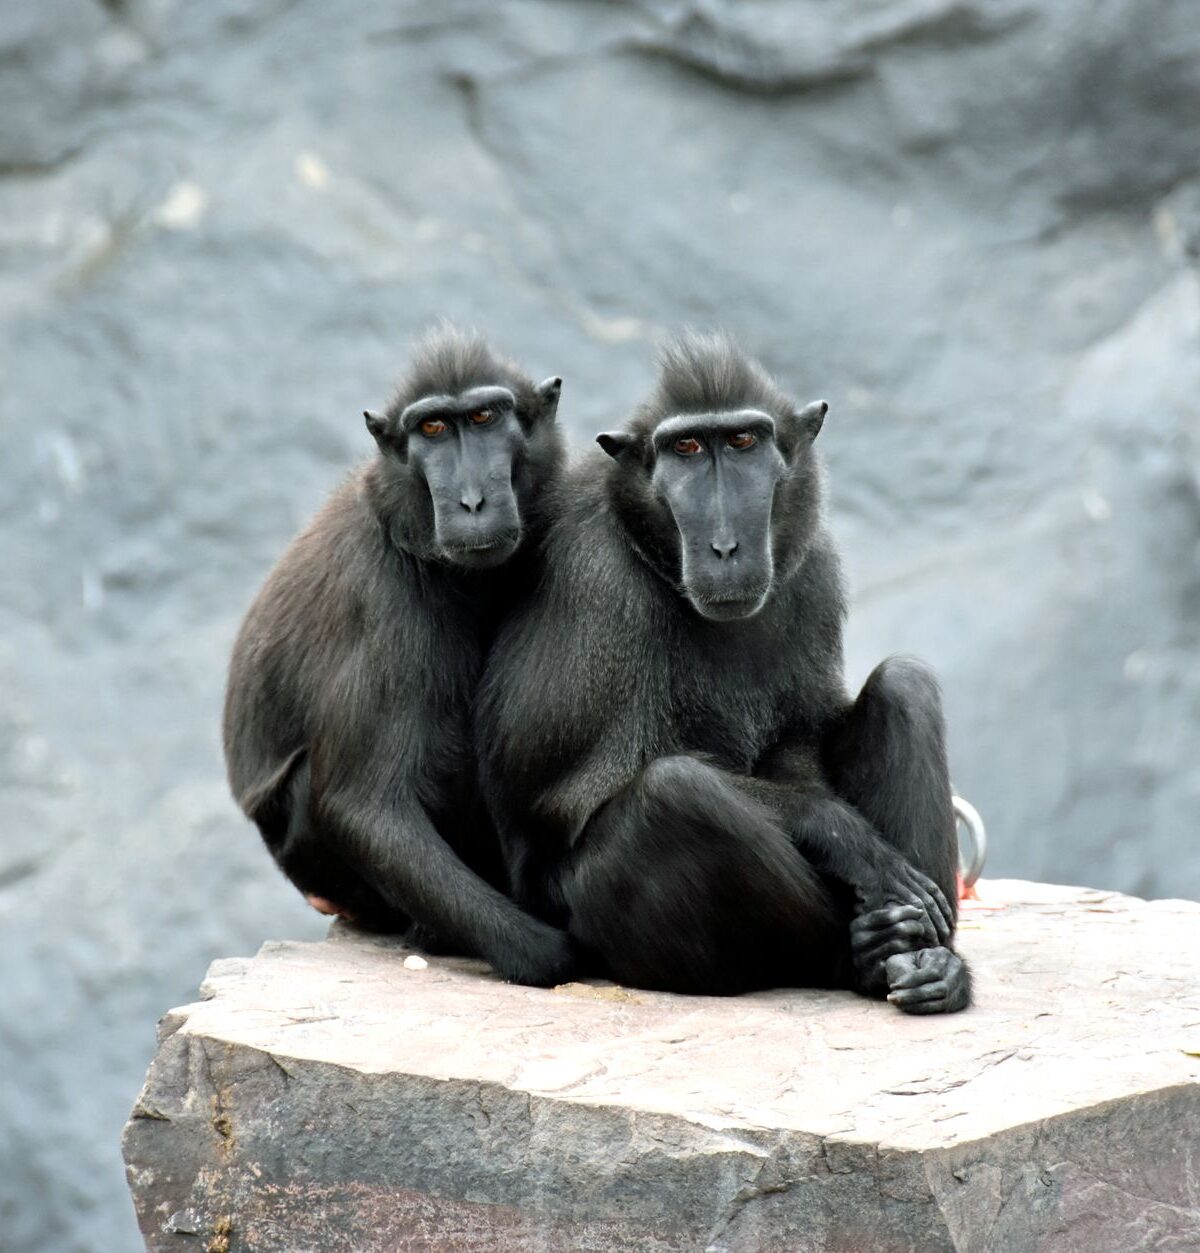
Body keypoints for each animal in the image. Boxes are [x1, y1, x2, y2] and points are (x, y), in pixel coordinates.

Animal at [222, 326, 577, 987]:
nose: (471, 502)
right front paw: (553, 950)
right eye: (432, 429)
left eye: (484, 417)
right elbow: (367, 808)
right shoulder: (386, 601)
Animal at [476, 331, 969, 1011]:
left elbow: (800, 741)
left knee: (904, 687)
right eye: (685, 449)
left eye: (742, 442)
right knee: (675, 792)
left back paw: (930, 964)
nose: (726, 547)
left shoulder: (812, 564)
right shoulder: (598, 585)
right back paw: (861, 954)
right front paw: (844, 835)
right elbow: (569, 799)